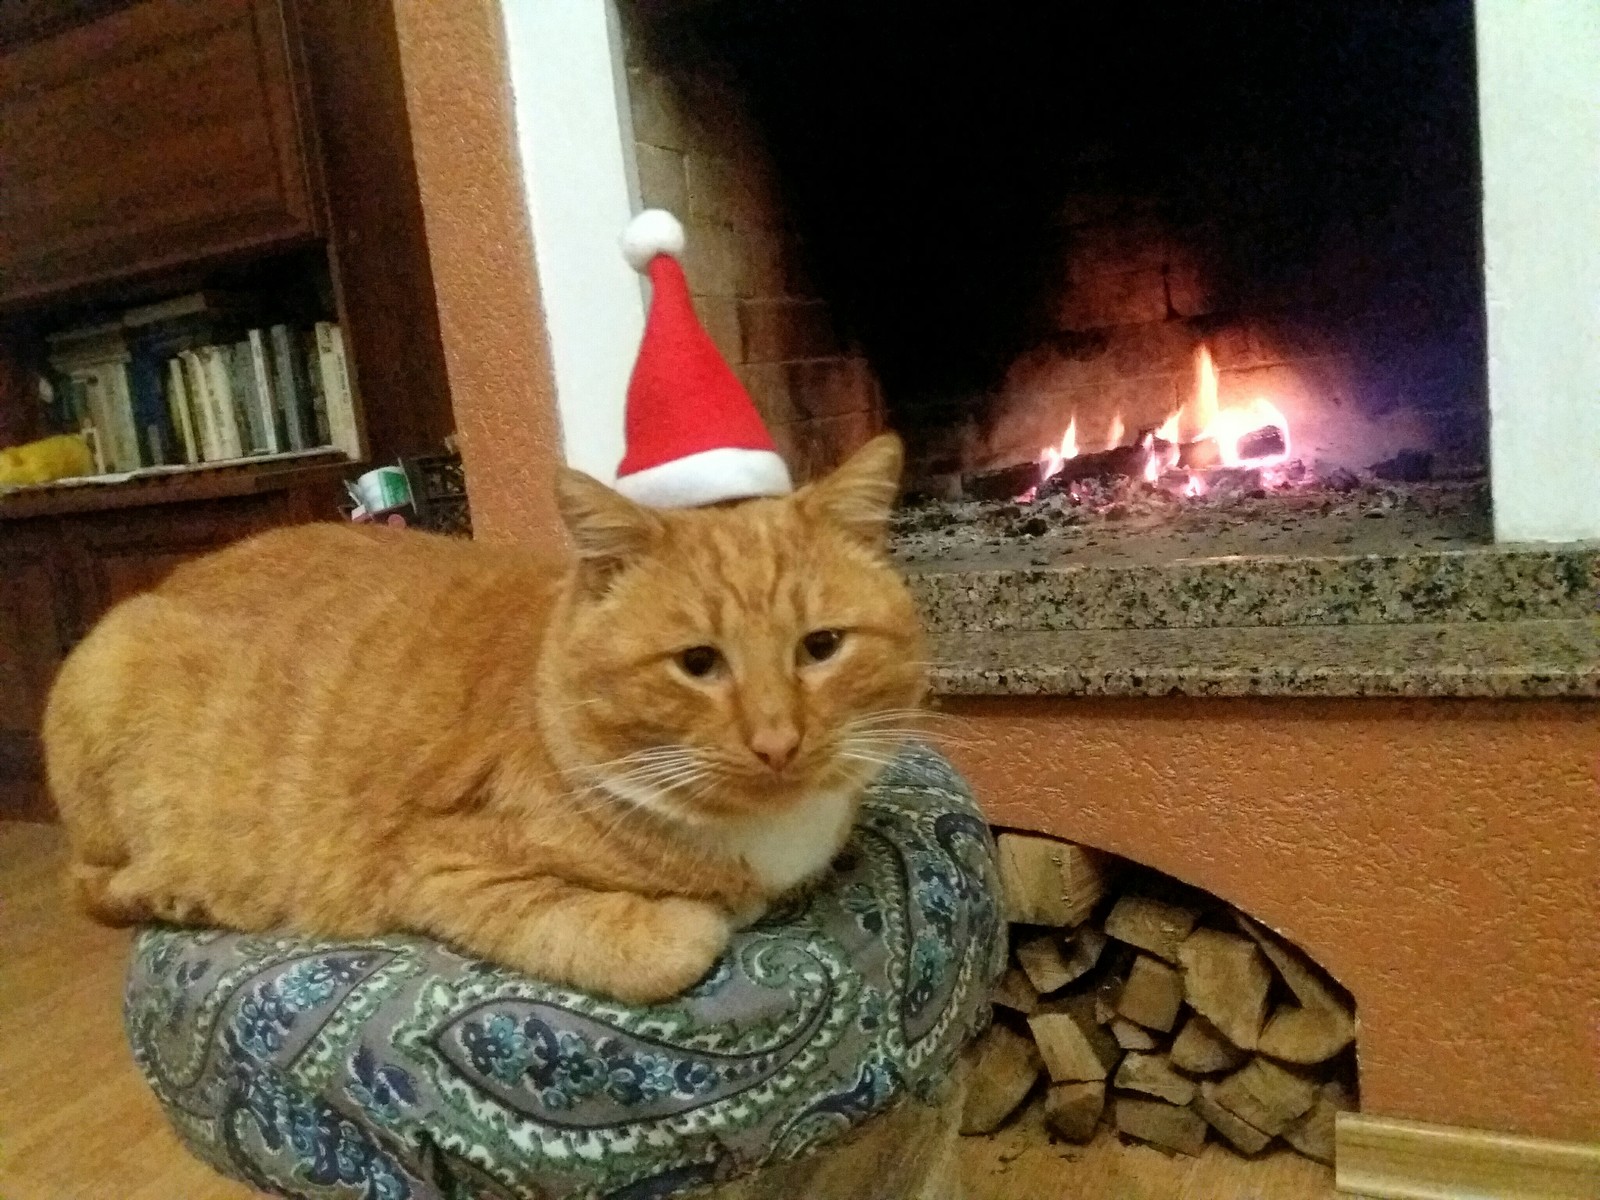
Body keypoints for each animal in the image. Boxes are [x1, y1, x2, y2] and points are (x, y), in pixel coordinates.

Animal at [43, 435, 928, 1004]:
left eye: (821, 647)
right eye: (698, 663)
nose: (778, 743)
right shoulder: (440, 866)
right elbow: (673, 942)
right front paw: (705, 916)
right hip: (110, 706)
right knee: (93, 885)